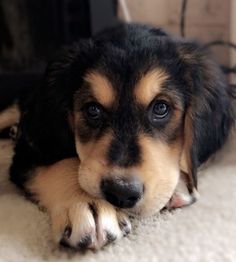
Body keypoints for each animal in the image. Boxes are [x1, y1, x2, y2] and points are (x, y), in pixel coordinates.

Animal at [1, 24, 234, 250]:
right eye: (92, 110)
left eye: (161, 108)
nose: (121, 192)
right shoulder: (28, 149)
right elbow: (62, 162)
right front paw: (86, 203)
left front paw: (179, 185)